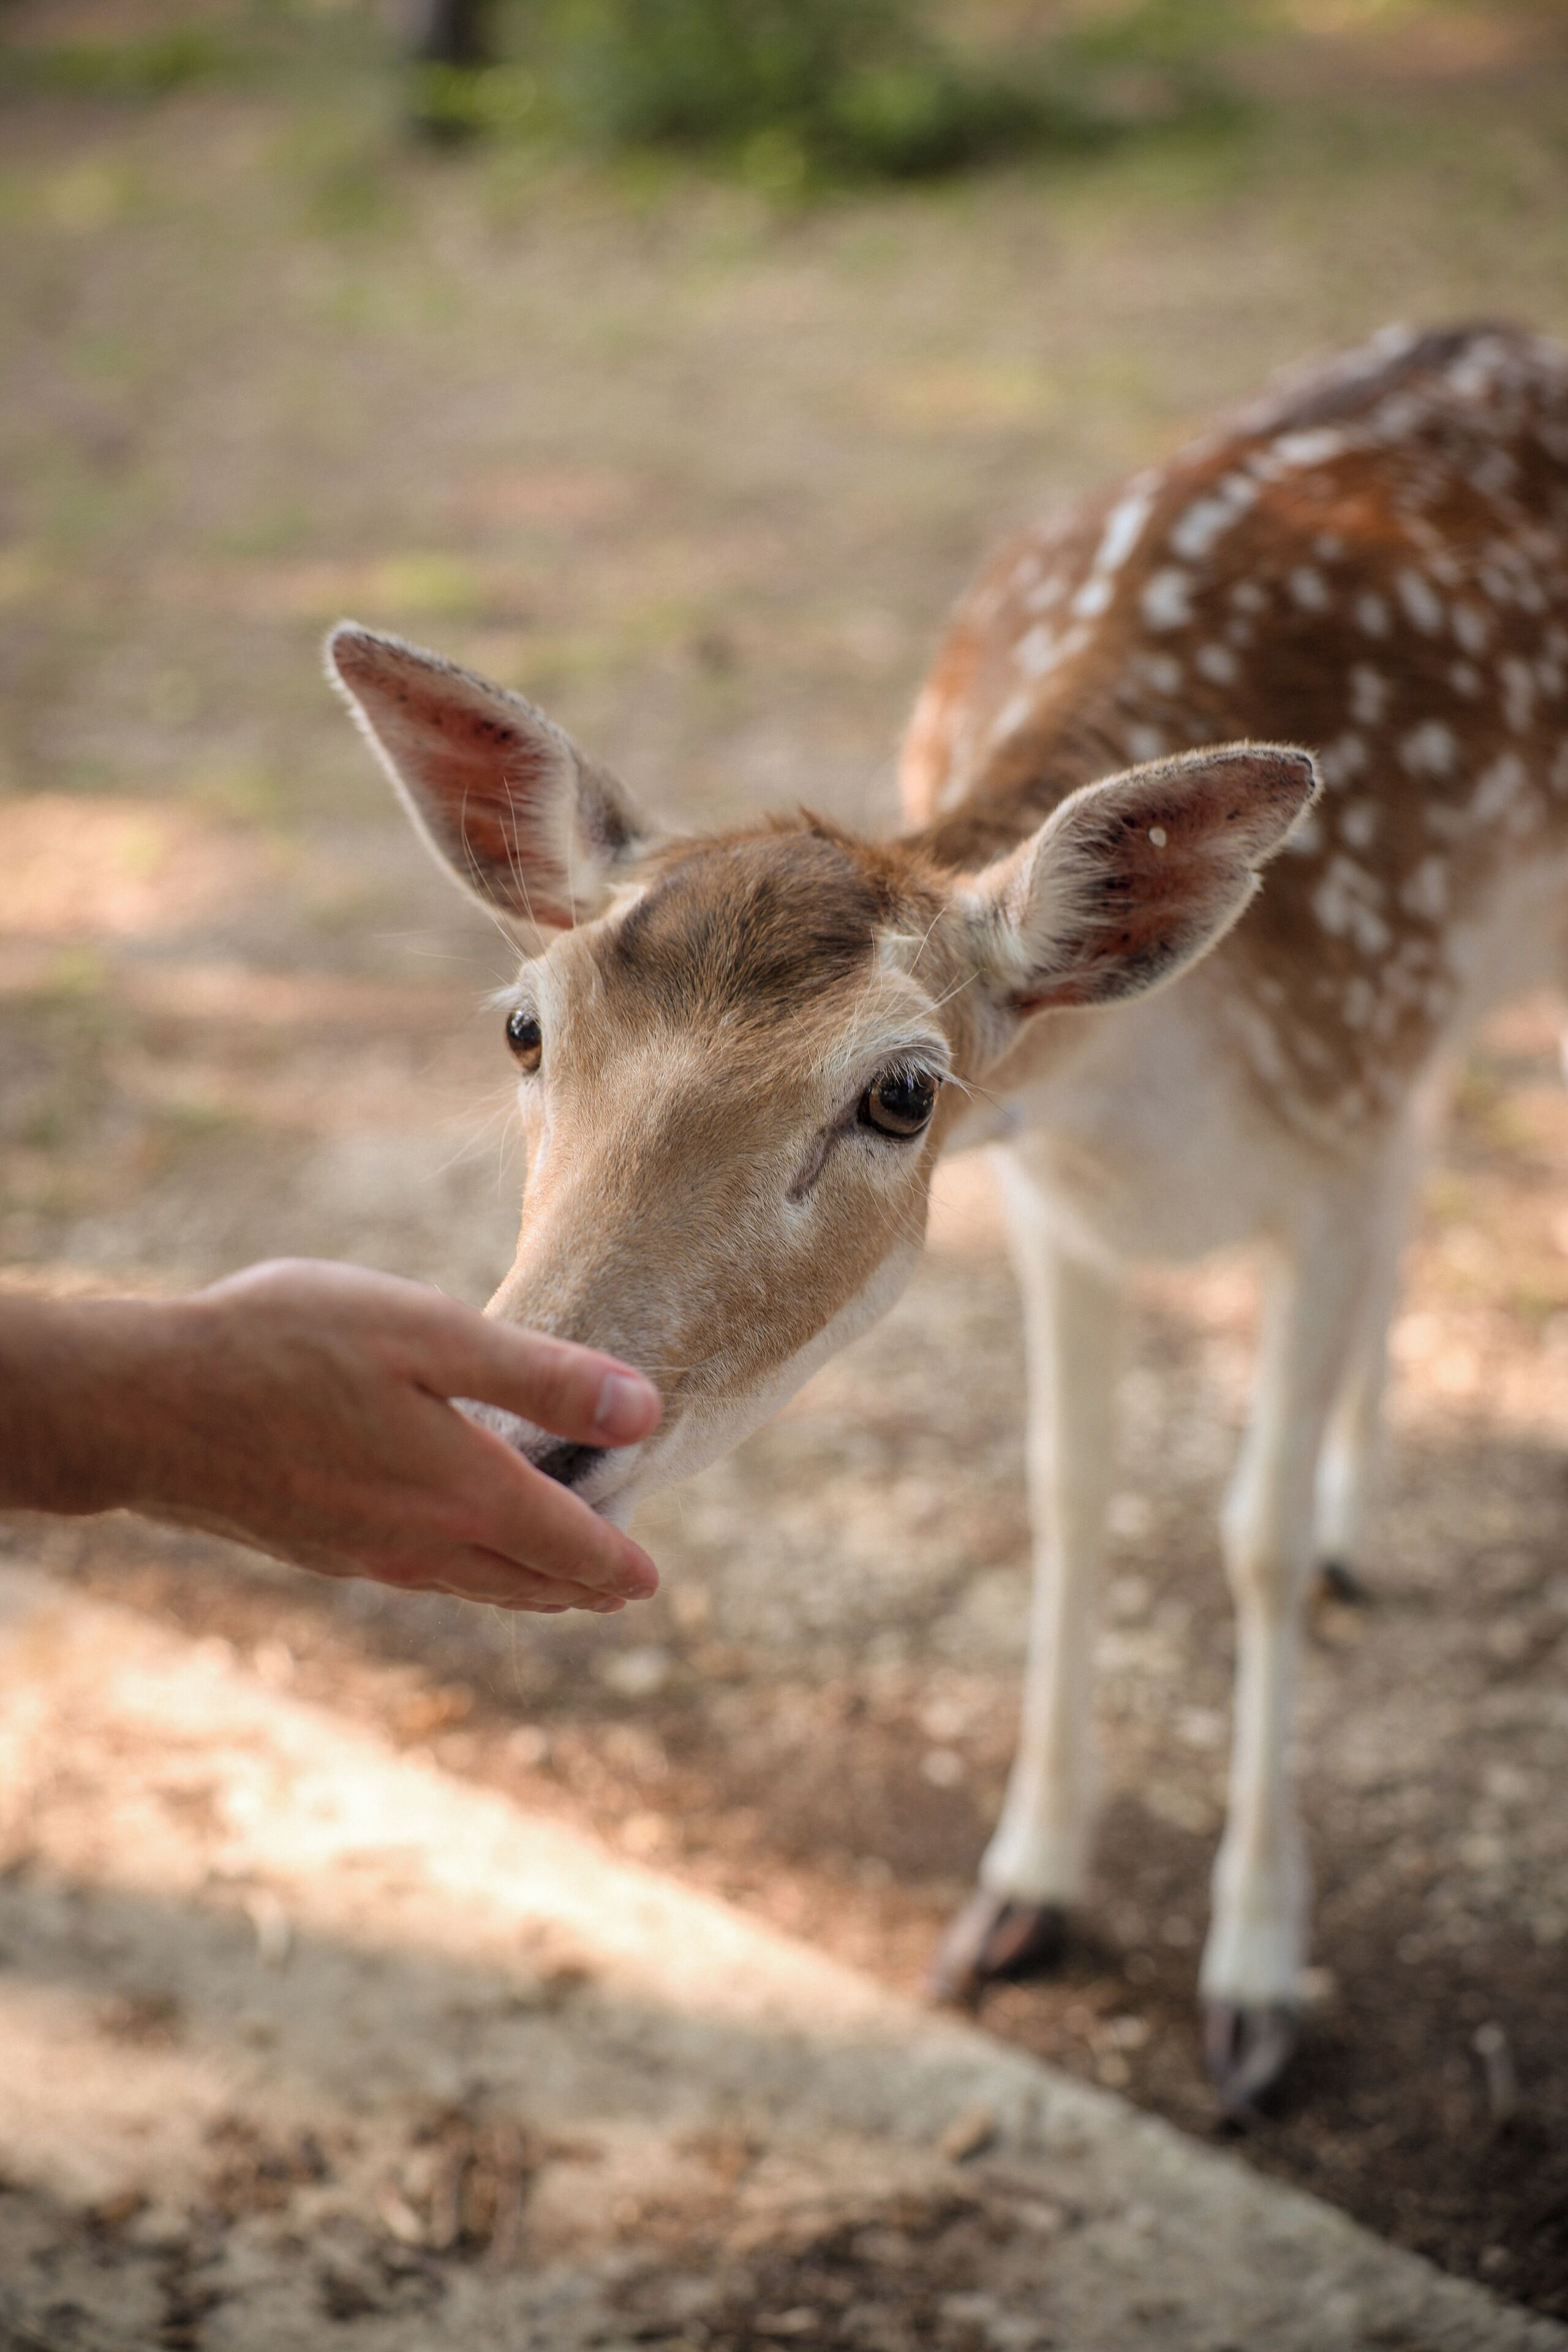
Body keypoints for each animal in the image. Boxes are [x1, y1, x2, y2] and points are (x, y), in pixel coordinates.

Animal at [327, 321, 1568, 2109]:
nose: (521, 1435)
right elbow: (1065, 1491)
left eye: (904, 1095)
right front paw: (1017, 1895)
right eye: (522, 1028)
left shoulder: (1333, 1138)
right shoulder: (1057, 1199)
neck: (1155, 1097)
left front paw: (1255, 1981)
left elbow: (1249, 1537)